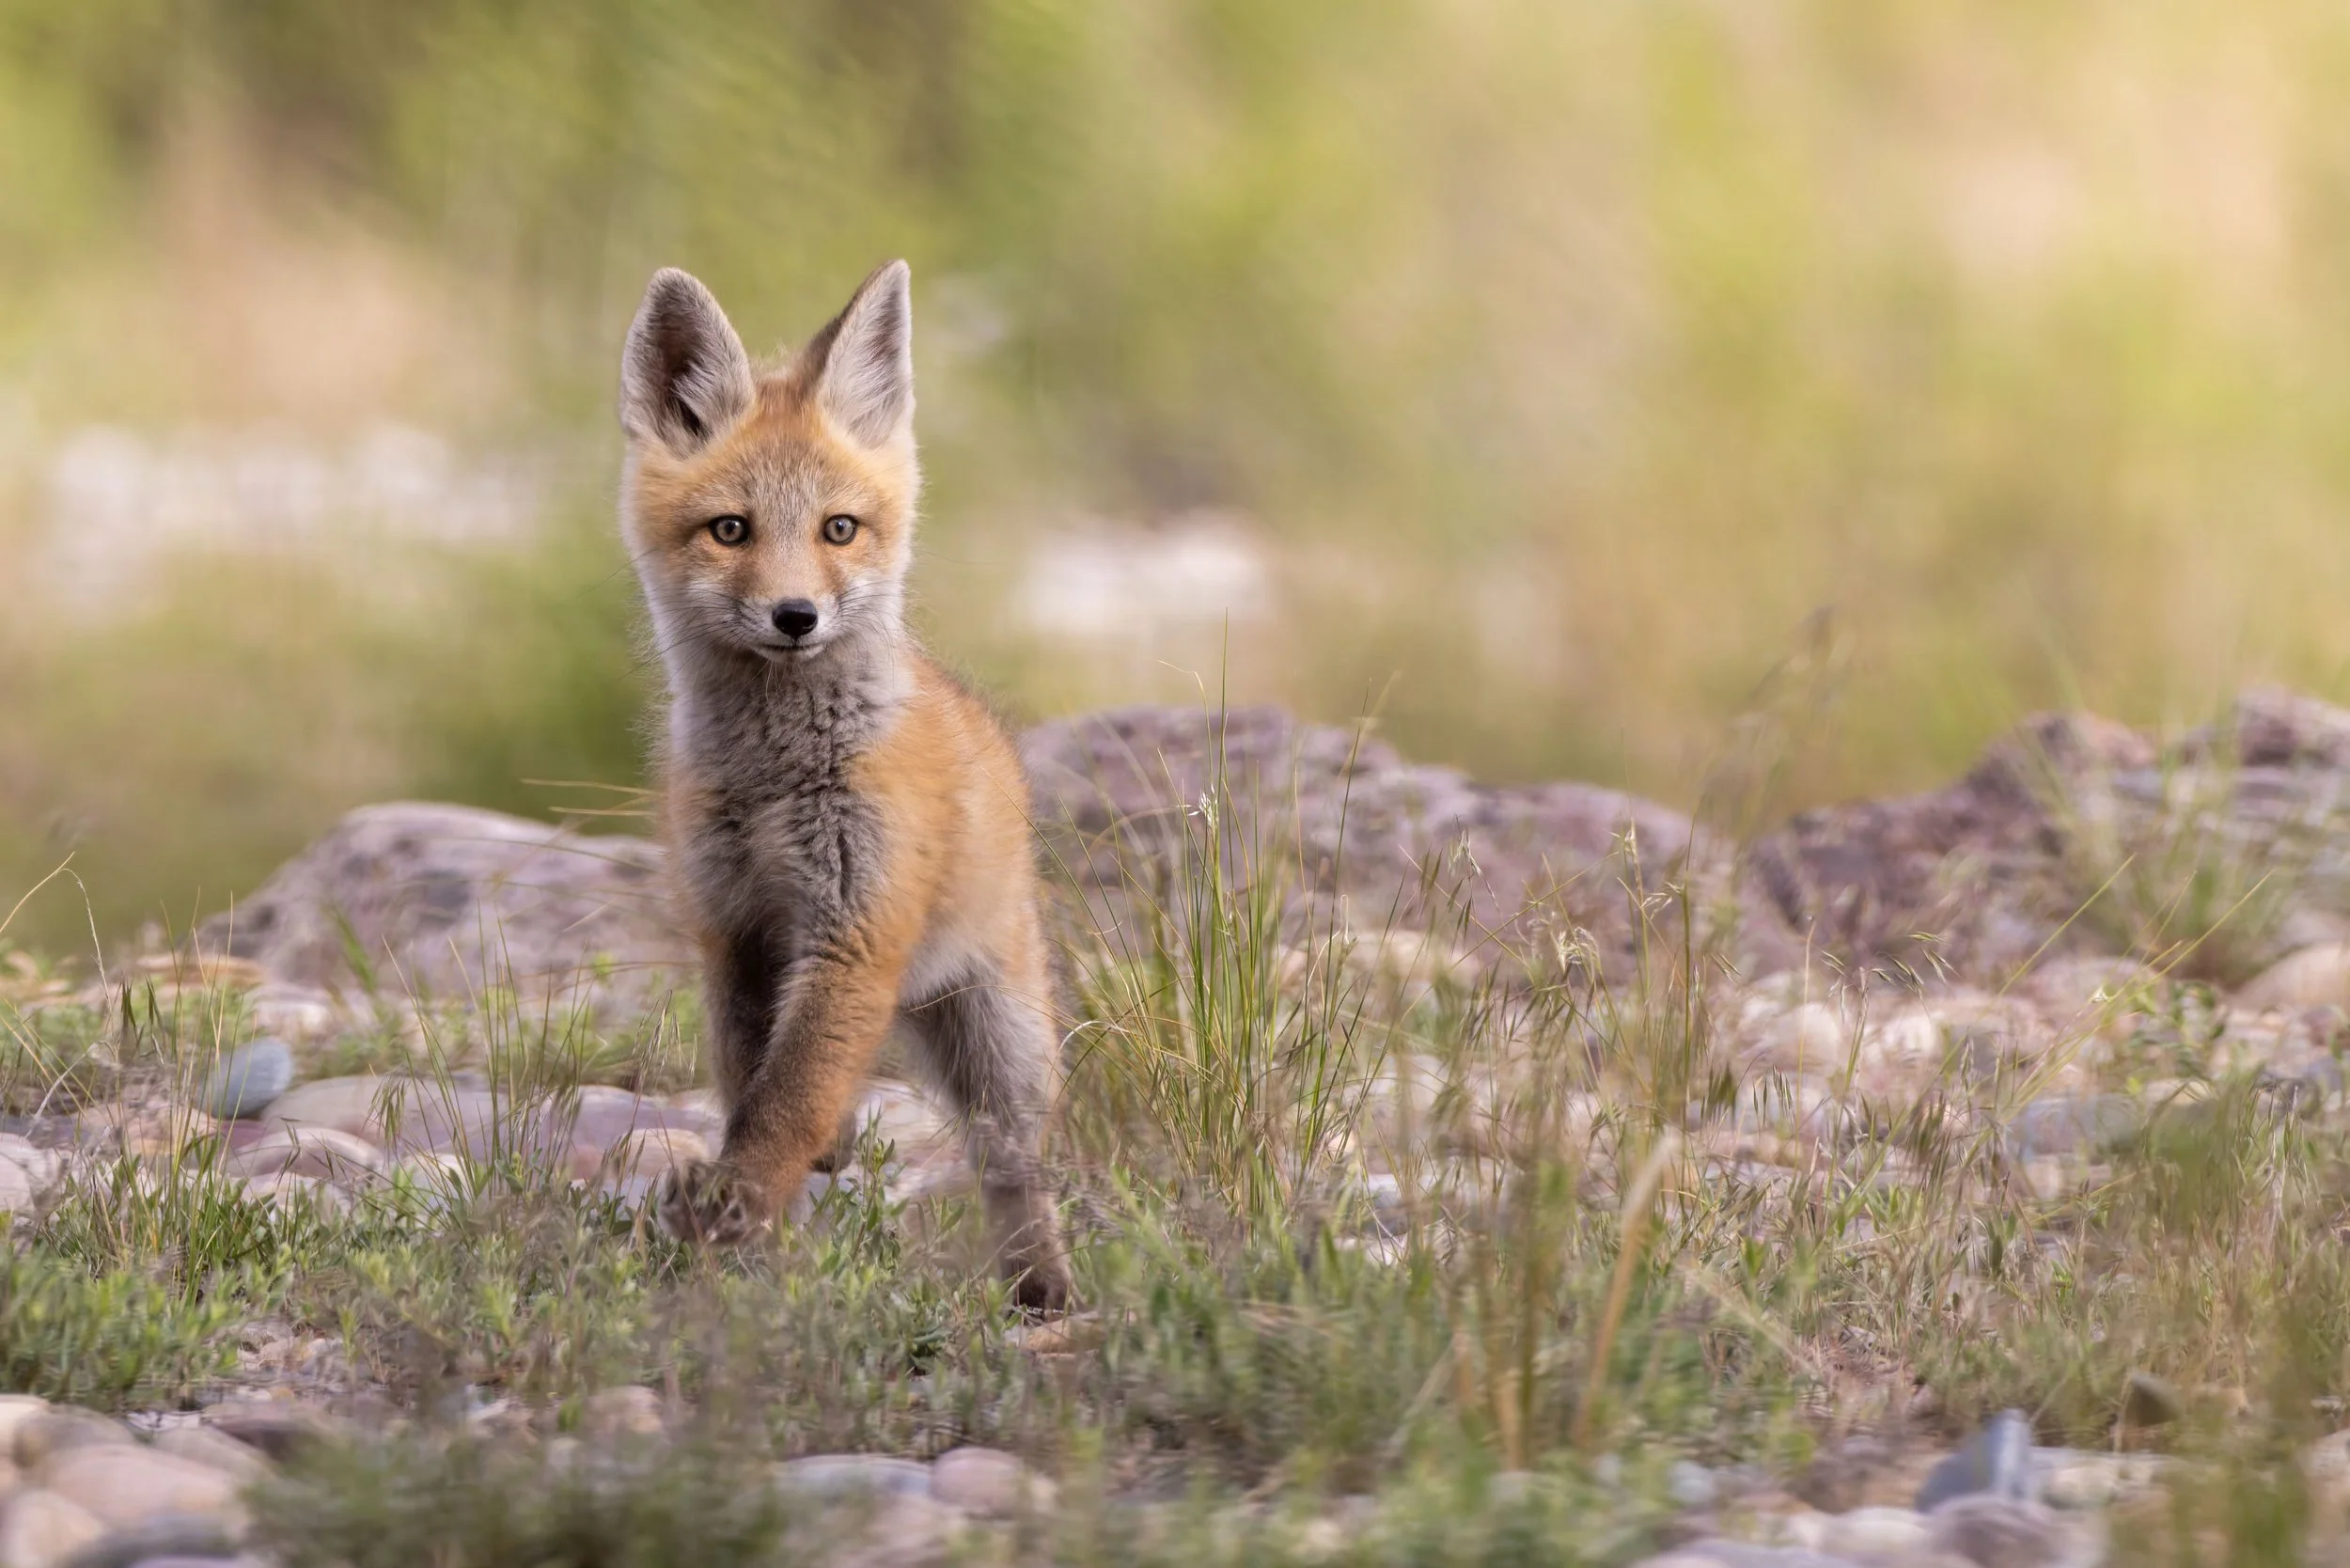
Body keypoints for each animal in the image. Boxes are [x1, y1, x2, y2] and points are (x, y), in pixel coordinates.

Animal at [616, 260, 1071, 1312]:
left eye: (839, 529)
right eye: (730, 530)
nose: (795, 616)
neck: (777, 778)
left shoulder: (853, 938)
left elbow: (789, 1101)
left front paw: (733, 1208)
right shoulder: (735, 930)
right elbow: (751, 1080)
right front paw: (759, 1192)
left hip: (1003, 1042)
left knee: (1013, 1161)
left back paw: (1043, 1285)